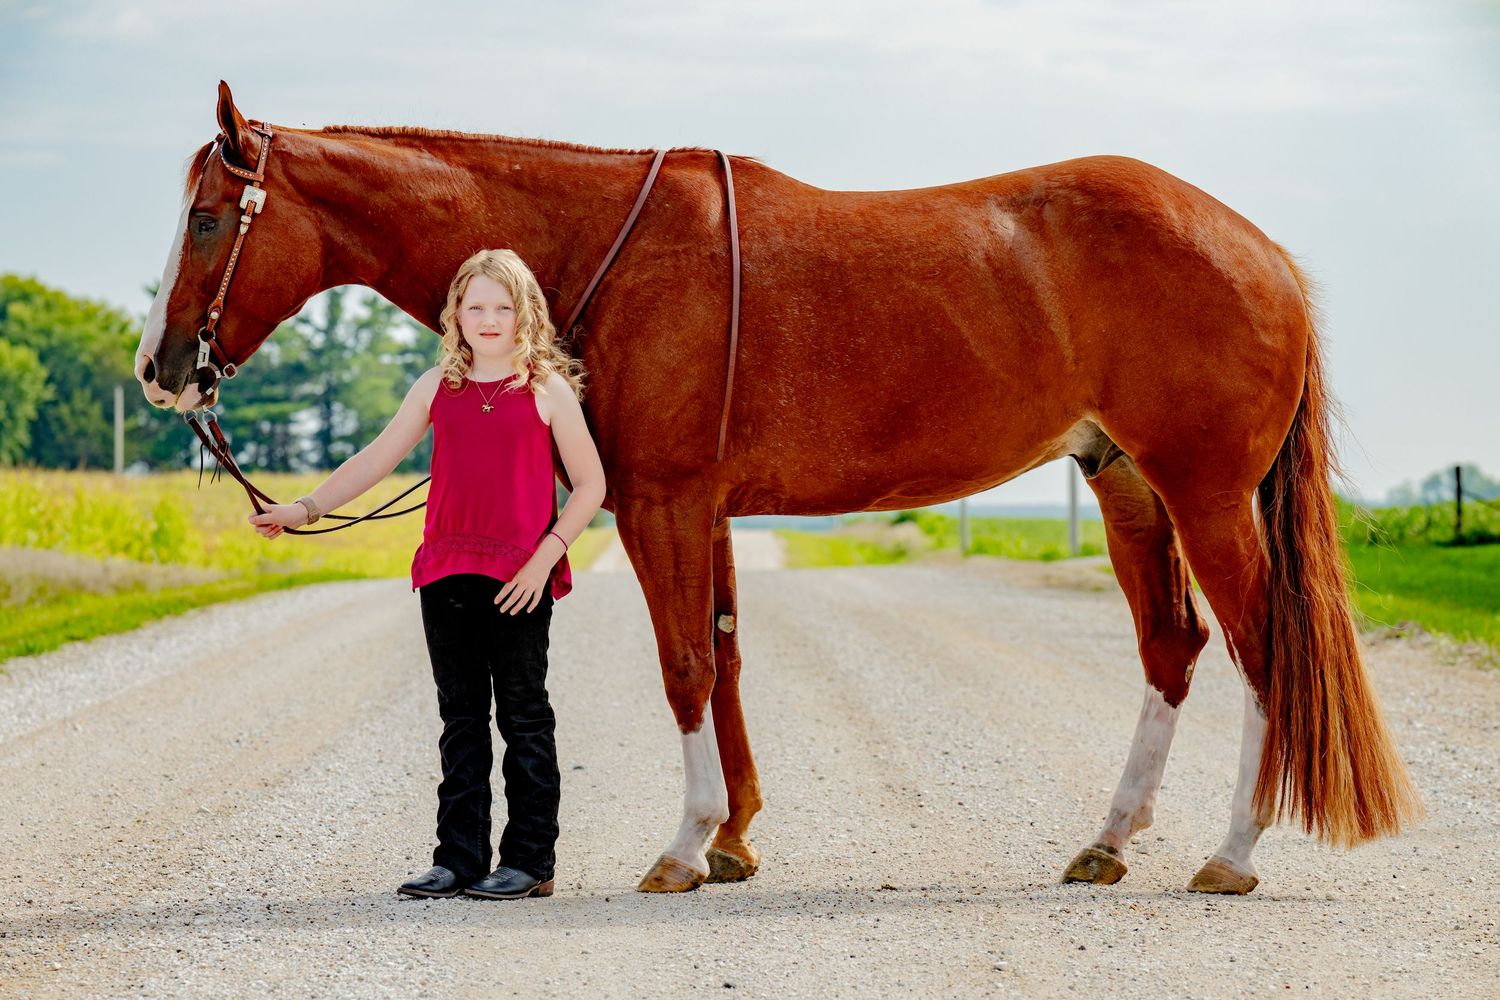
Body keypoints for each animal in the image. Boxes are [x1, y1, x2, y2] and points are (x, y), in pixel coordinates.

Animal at [137, 81, 1420, 896]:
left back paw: (1235, 852)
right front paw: (737, 839)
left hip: (1205, 496)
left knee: (1265, 652)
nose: (160, 368)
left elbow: (685, 666)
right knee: (1173, 647)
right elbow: (726, 652)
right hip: (1129, 489)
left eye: (205, 217)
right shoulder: (702, 509)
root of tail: (1262, 250)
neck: (607, 245)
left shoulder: (659, 502)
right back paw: (1108, 839)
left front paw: (685, 843)